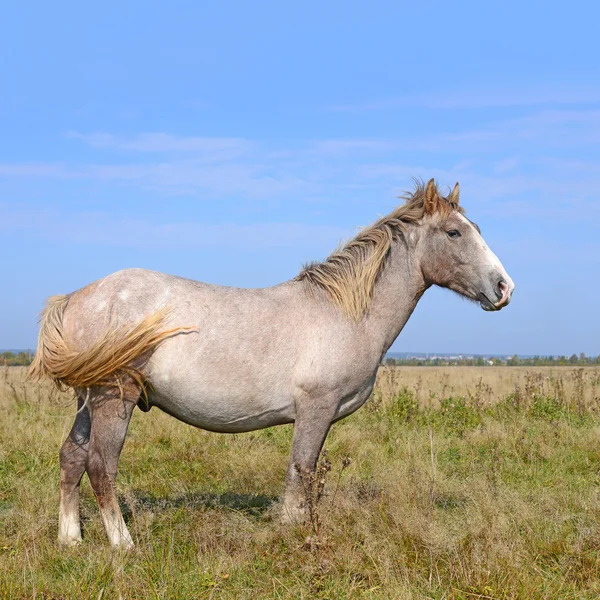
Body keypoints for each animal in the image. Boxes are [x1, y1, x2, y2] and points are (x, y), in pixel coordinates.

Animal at [29, 179, 516, 548]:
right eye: (453, 233)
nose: (504, 287)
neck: (343, 311)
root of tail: (77, 298)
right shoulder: (315, 409)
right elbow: (300, 473)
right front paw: (294, 532)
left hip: (88, 400)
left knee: (72, 457)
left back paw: (70, 540)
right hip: (115, 398)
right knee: (100, 465)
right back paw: (123, 544)